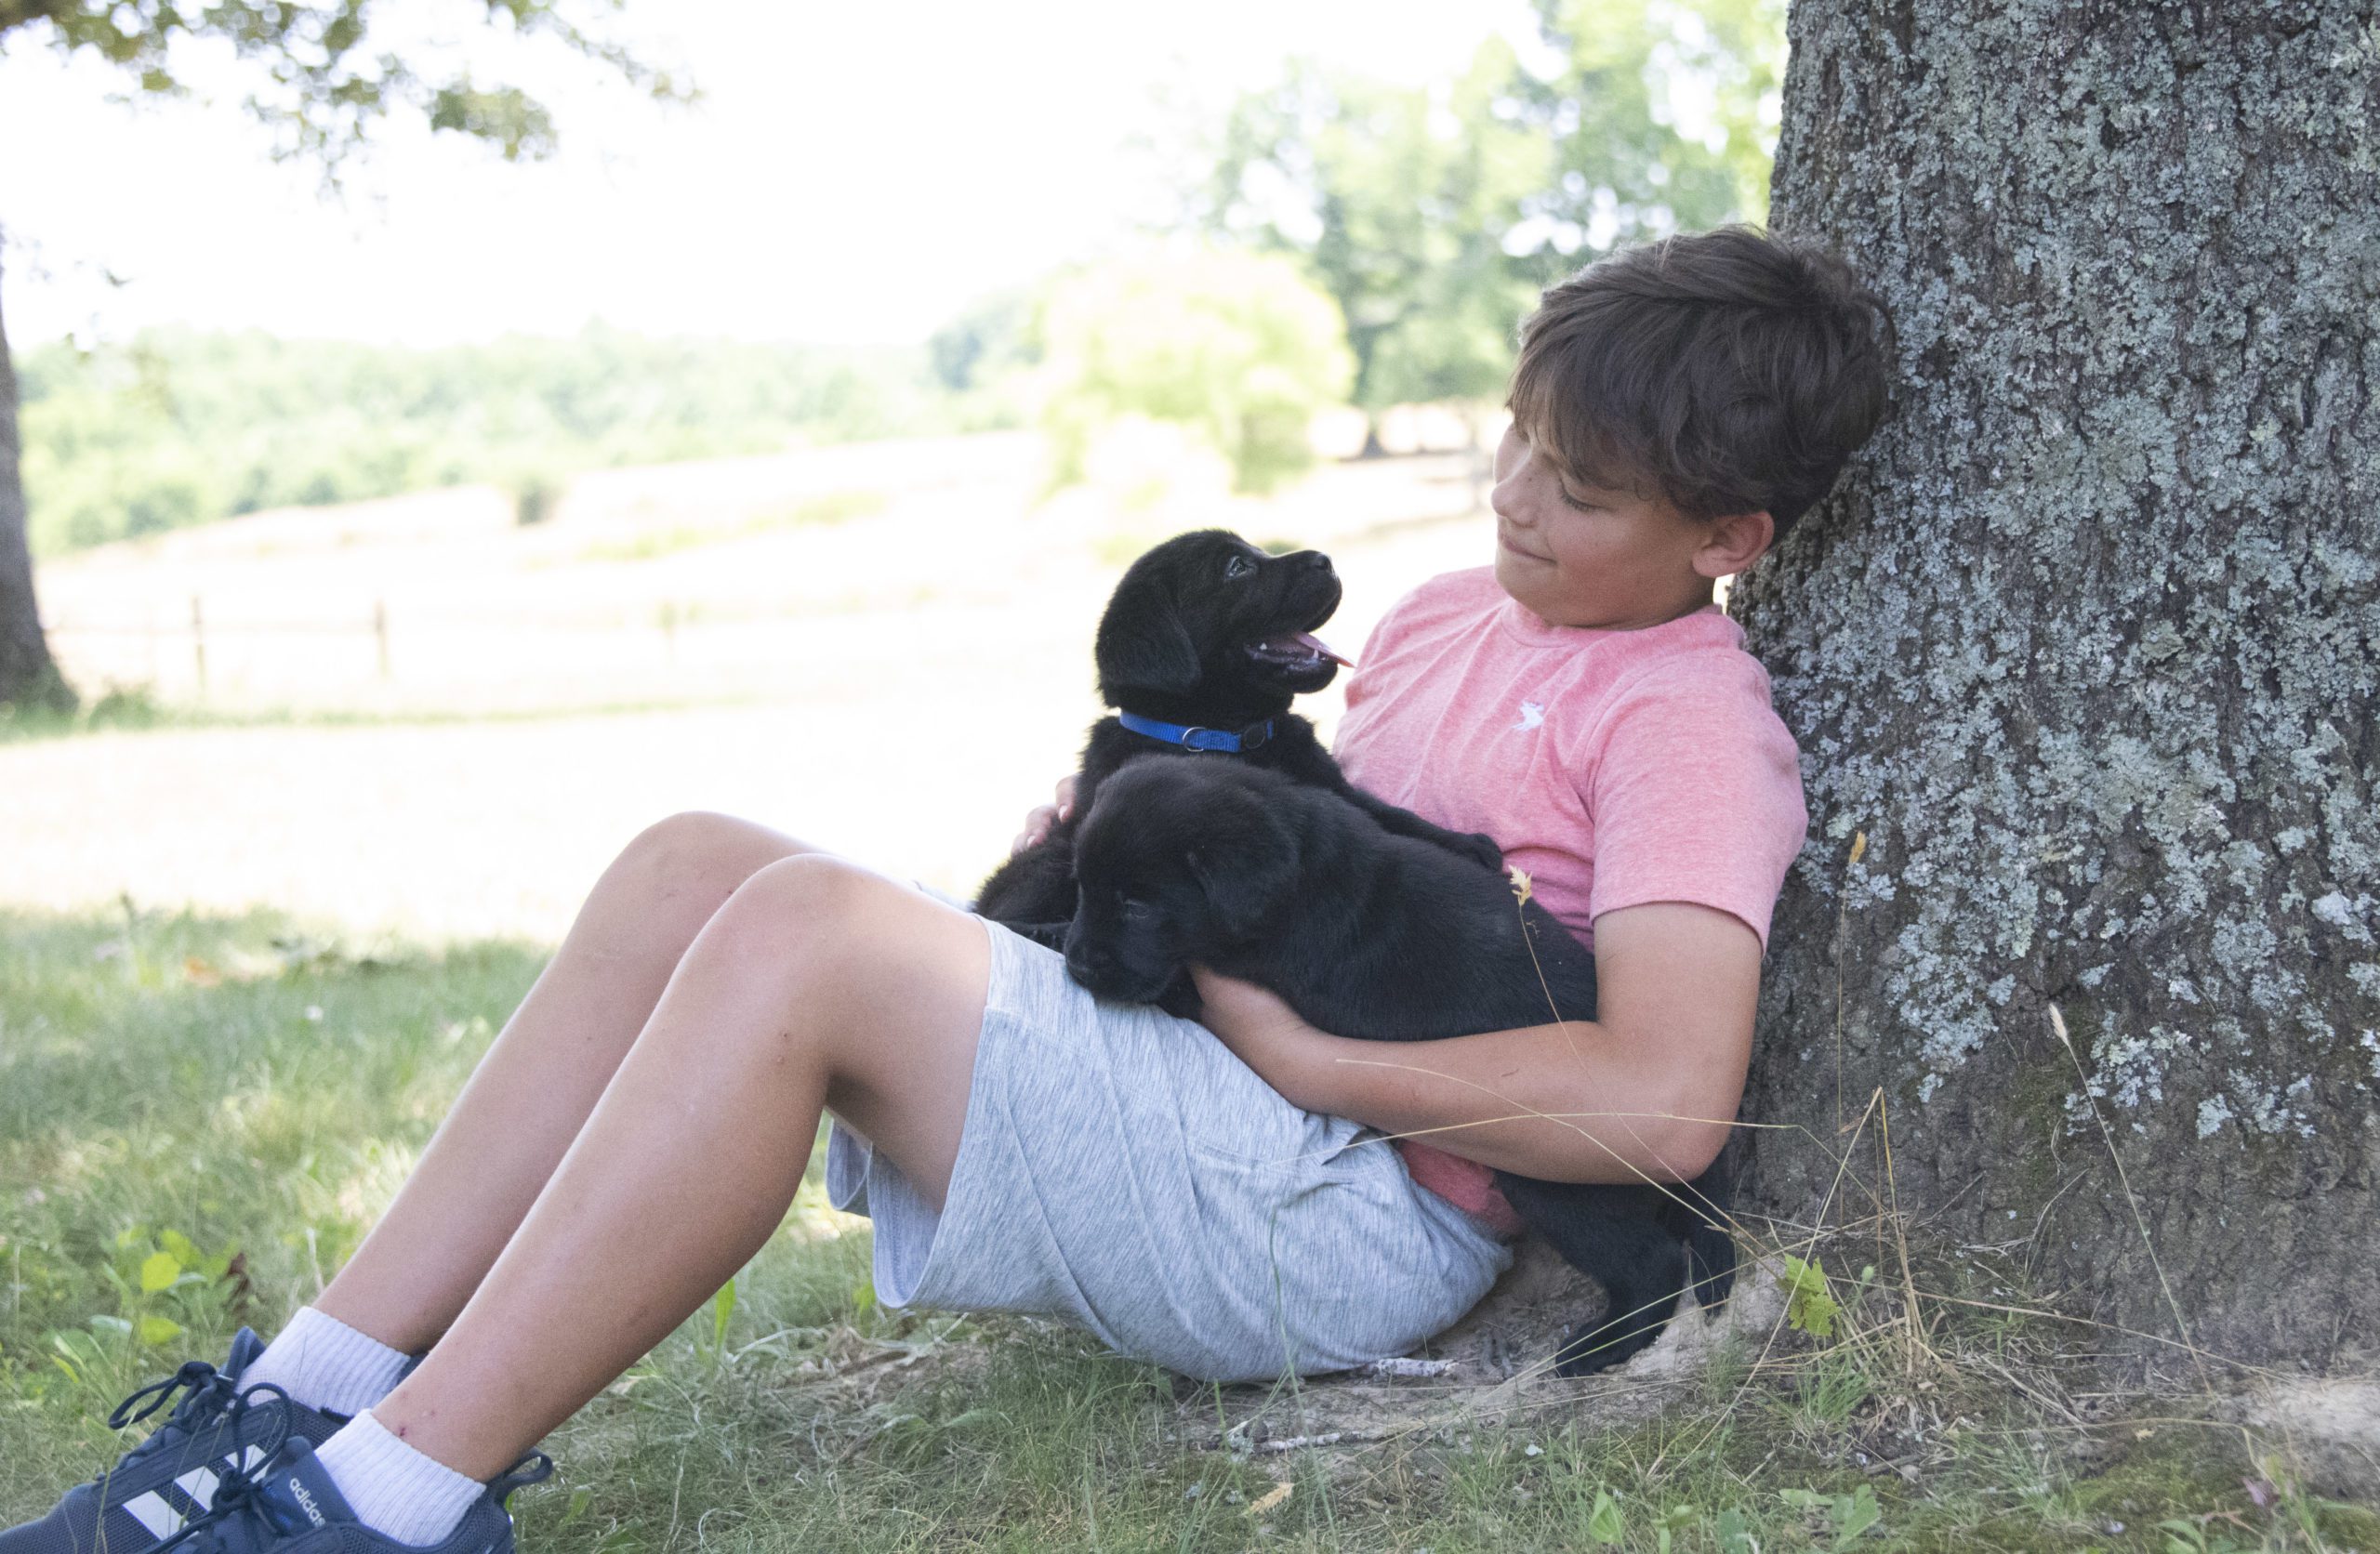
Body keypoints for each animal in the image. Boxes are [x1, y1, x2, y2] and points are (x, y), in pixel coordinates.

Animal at [975, 528, 1494, 999]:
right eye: (1237, 567)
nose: (1326, 560)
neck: (1229, 735)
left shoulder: (1330, 786)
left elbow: (1387, 813)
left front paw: (1467, 846)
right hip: (1050, 856)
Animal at [1071, 757, 1741, 1380]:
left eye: (1136, 904)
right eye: (1082, 885)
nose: (1077, 966)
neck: (1303, 870)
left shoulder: (1222, 979)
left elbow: (1173, 985)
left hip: (1560, 1185)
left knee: (1652, 1263)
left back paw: (1599, 1347)